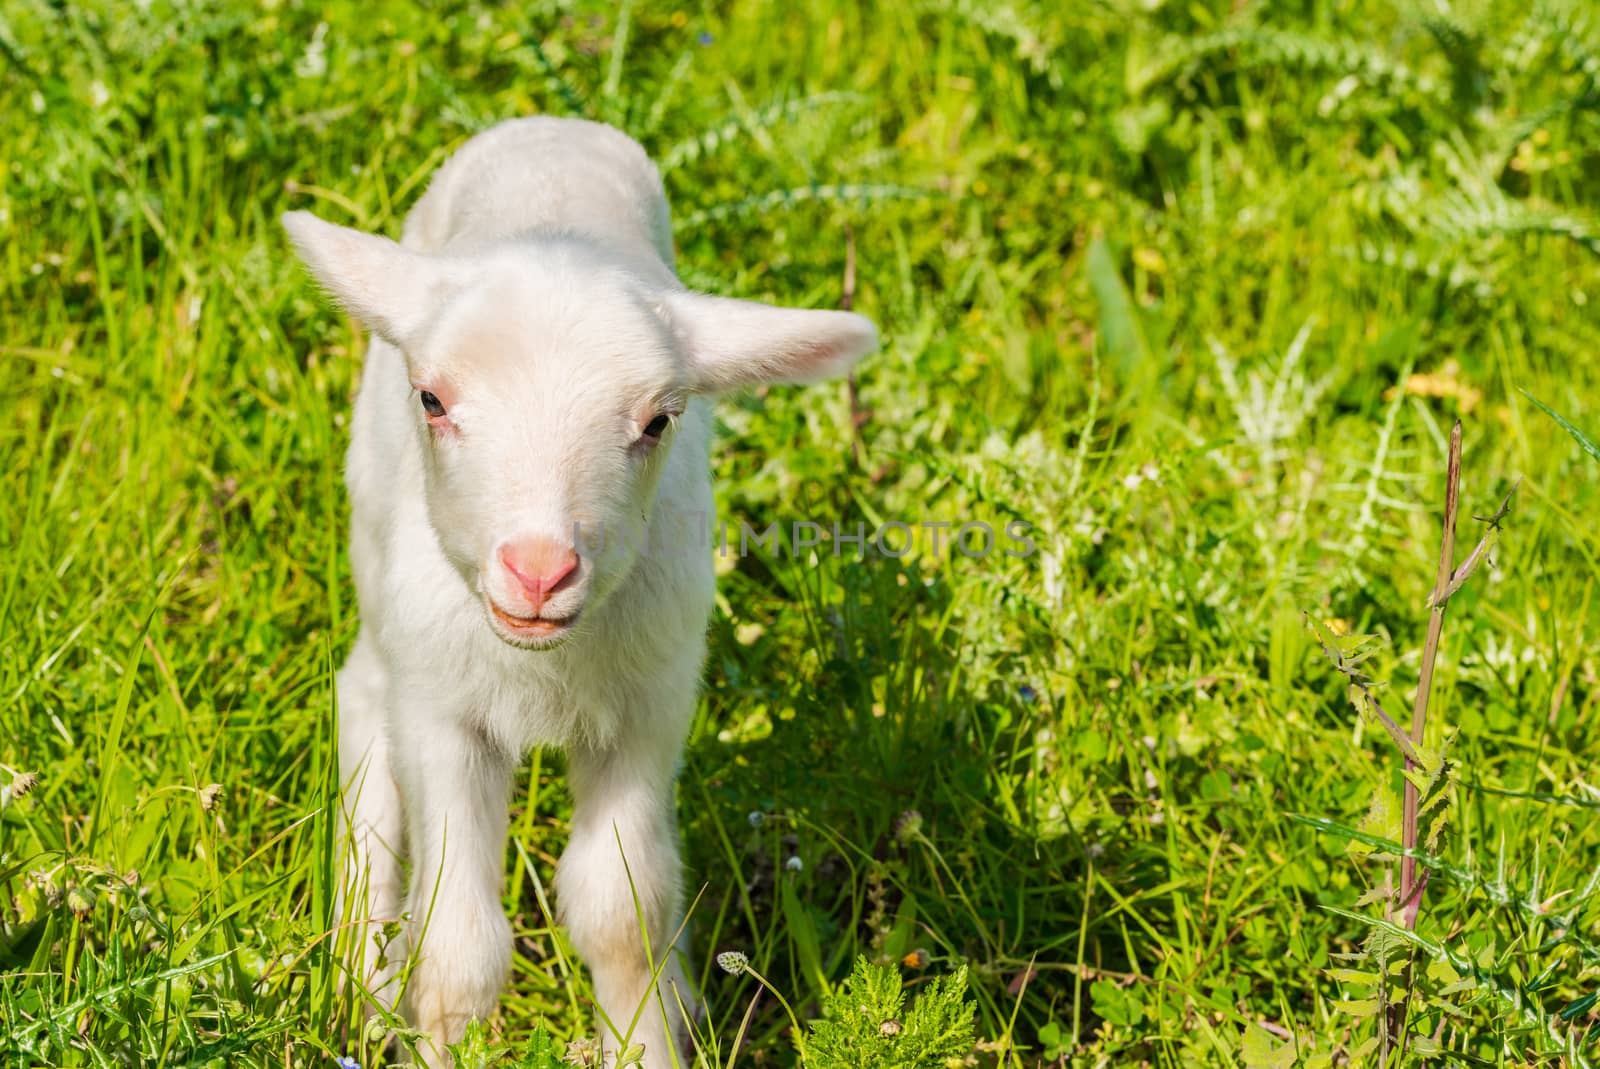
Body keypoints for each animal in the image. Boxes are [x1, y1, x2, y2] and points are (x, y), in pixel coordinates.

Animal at [278, 119, 876, 1069]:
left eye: (660, 419)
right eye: (432, 398)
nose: (538, 568)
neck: (544, 662)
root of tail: (546, 129)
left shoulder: (648, 709)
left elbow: (623, 917)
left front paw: (650, 1040)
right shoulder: (444, 714)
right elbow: (458, 948)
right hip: (378, 561)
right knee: (363, 700)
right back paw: (357, 982)